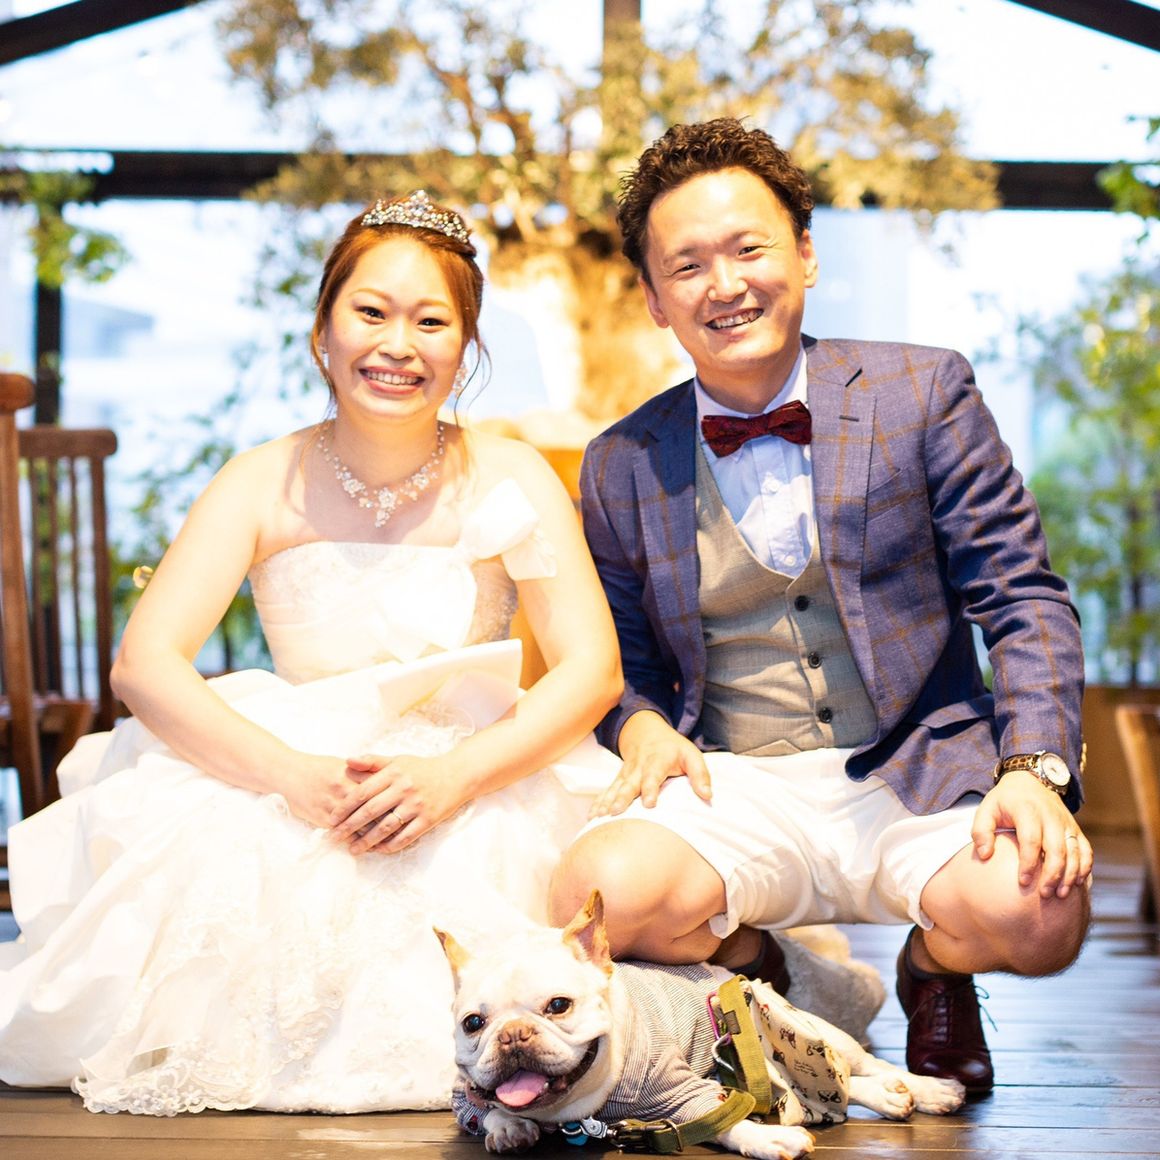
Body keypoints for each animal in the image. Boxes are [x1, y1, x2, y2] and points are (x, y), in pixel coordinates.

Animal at [436, 892, 965, 1159]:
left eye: (558, 1006)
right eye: (474, 1023)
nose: (513, 1035)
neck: (575, 1110)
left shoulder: (678, 1089)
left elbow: (723, 1118)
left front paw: (765, 1138)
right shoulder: (464, 1094)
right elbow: (482, 1108)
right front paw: (508, 1127)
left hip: (816, 1031)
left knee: (863, 1064)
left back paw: (929, 1089)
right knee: (842, 1085)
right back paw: (890, 1098)